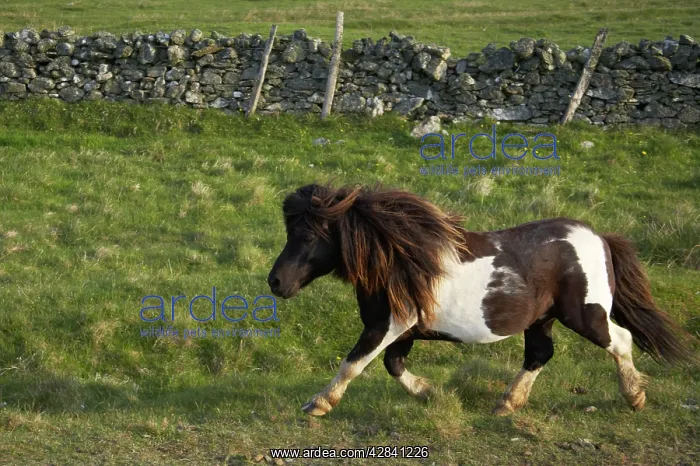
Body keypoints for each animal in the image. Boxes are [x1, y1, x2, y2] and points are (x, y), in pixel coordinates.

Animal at [267, 183, 697, 417]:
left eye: (307, 236)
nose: (275, 282)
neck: (397, 258)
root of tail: (600, 238)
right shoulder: (402, 329)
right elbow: (393, 365)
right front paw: (429, 392)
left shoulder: (387, 325)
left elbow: (353, 364)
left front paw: (318, 404)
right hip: (541, 319)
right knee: (540, 355)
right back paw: (507, 403)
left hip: (585, 315)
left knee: (621, 340)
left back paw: (635, 396)